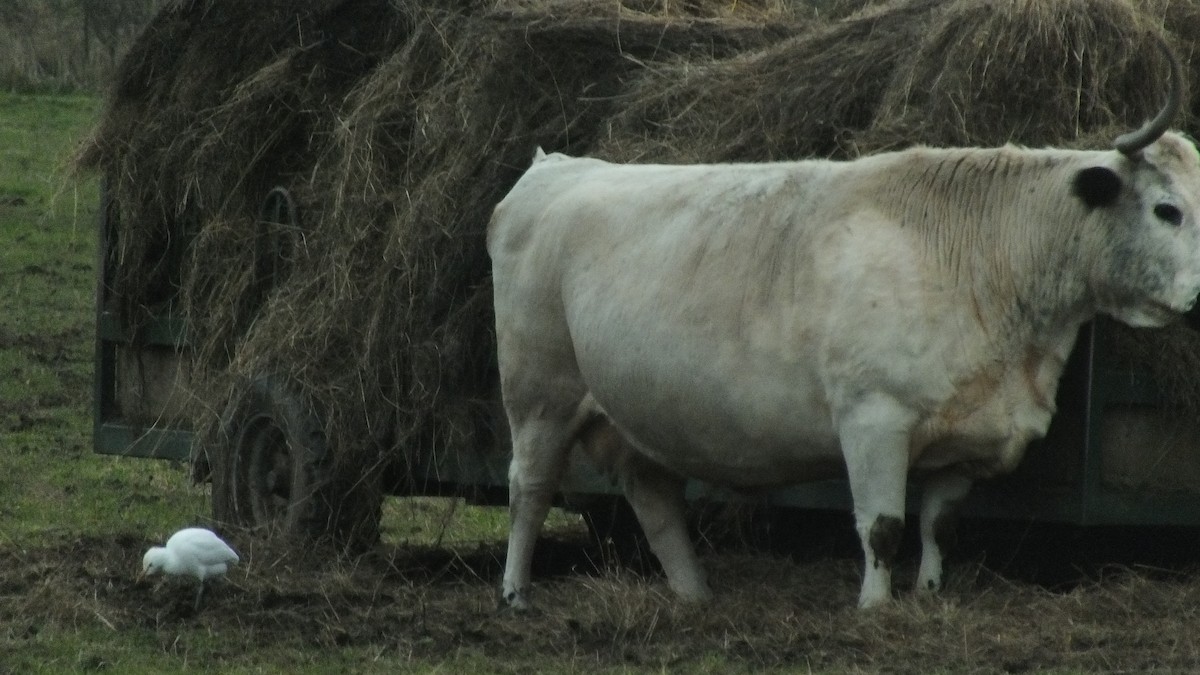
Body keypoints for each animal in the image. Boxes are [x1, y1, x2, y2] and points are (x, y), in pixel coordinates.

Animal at [484, 51, 1200, 605]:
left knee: (655, 503)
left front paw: (928, 597)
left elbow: (939, 526)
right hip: (539, 394)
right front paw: (875, 609)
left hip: (635, 410)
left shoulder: (965, 437)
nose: (1197, 294)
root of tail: (557, 166)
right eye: (1168, 210)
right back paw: (516, 593)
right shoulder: (873, 417)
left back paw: (695, 596)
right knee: (529, 487)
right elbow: (882, 526)